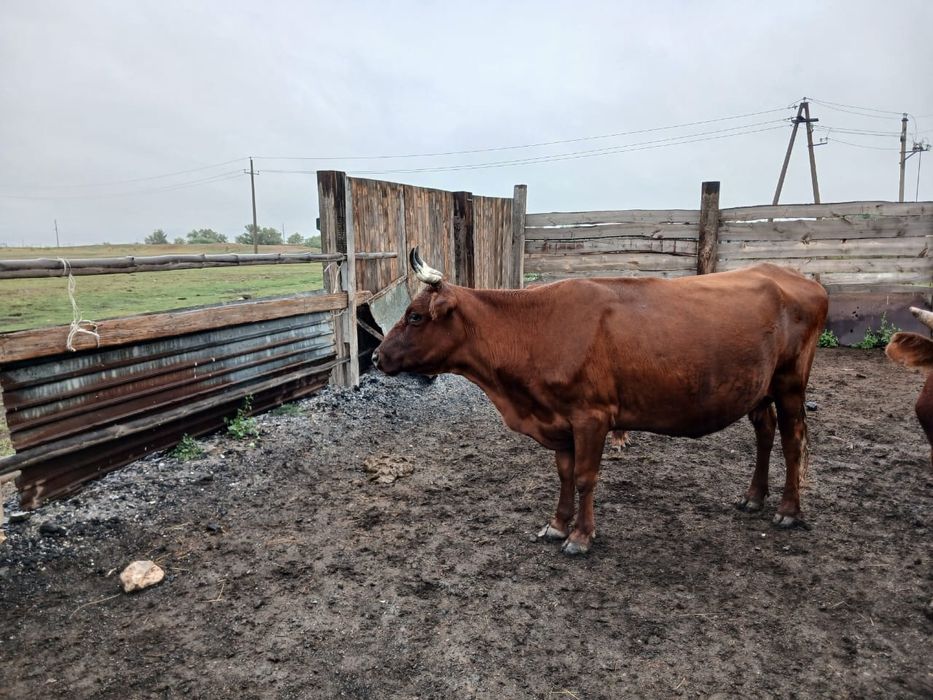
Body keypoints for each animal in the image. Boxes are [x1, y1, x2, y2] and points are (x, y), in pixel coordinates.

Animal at [372, 248, 829, 555]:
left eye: (415, 316)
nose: (376, 356)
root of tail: (792, 275)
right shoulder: (558, 420)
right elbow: (563, 474)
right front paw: (557, 524)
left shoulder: (591, 416)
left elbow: (585, 477)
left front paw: (580, 536)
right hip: (758, 388)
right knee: (765, 433)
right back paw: (753, 497)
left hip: (790, 384)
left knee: (793, 441)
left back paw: (789, 510)